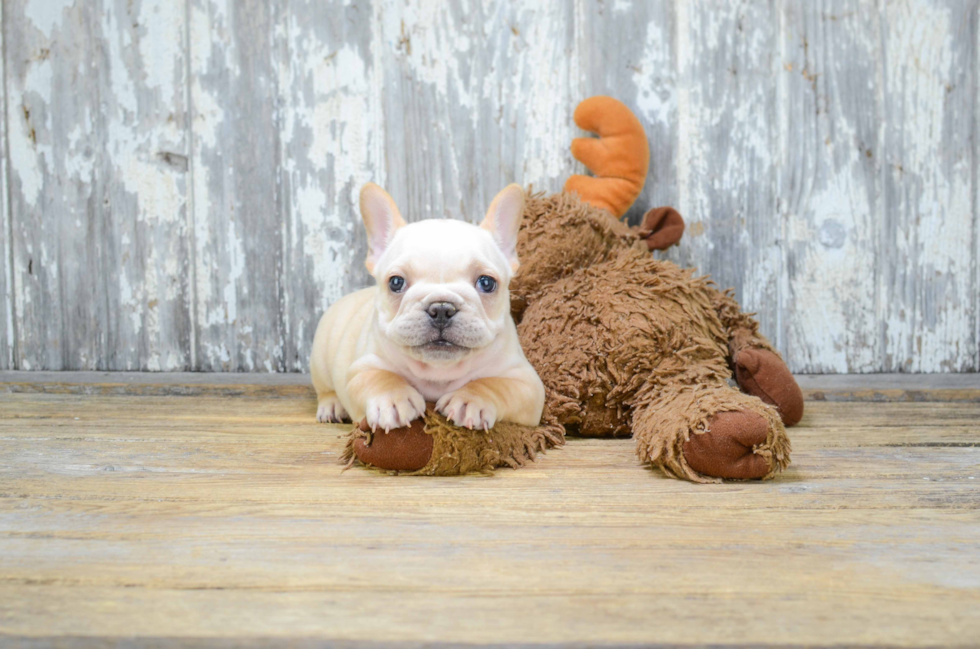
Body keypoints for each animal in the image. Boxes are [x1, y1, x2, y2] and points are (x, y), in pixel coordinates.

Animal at [312, 184, 548, 430]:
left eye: (486, 283)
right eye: (396, 282)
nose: (442, 308)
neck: (439, 370)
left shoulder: (527, 384)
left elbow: (494, 384)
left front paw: (470, 400)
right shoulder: (362, 368)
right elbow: (380, 377)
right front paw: (393, 399)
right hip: (320, 359)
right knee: (325, 389)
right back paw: (332, 406)